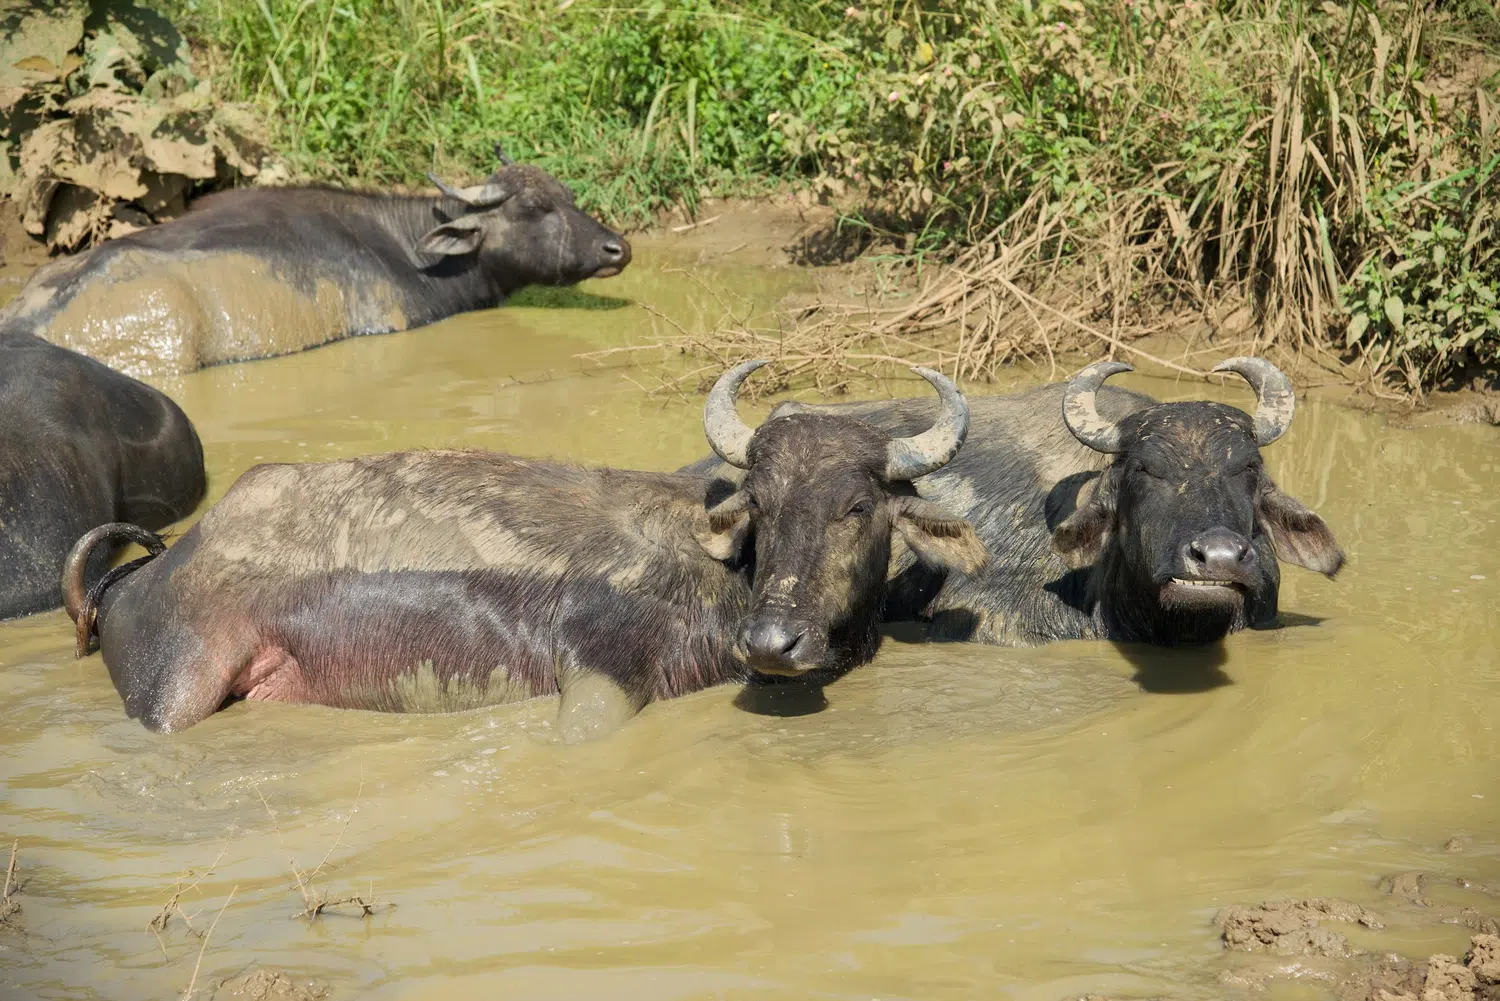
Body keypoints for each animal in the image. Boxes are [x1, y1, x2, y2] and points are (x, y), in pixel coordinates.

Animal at [62, 362, 986, 736]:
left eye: (857, 506)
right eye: (760, 502)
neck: (722, 578)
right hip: (174, 690)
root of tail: (144, 574)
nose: (772, 641)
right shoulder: (599, 680)